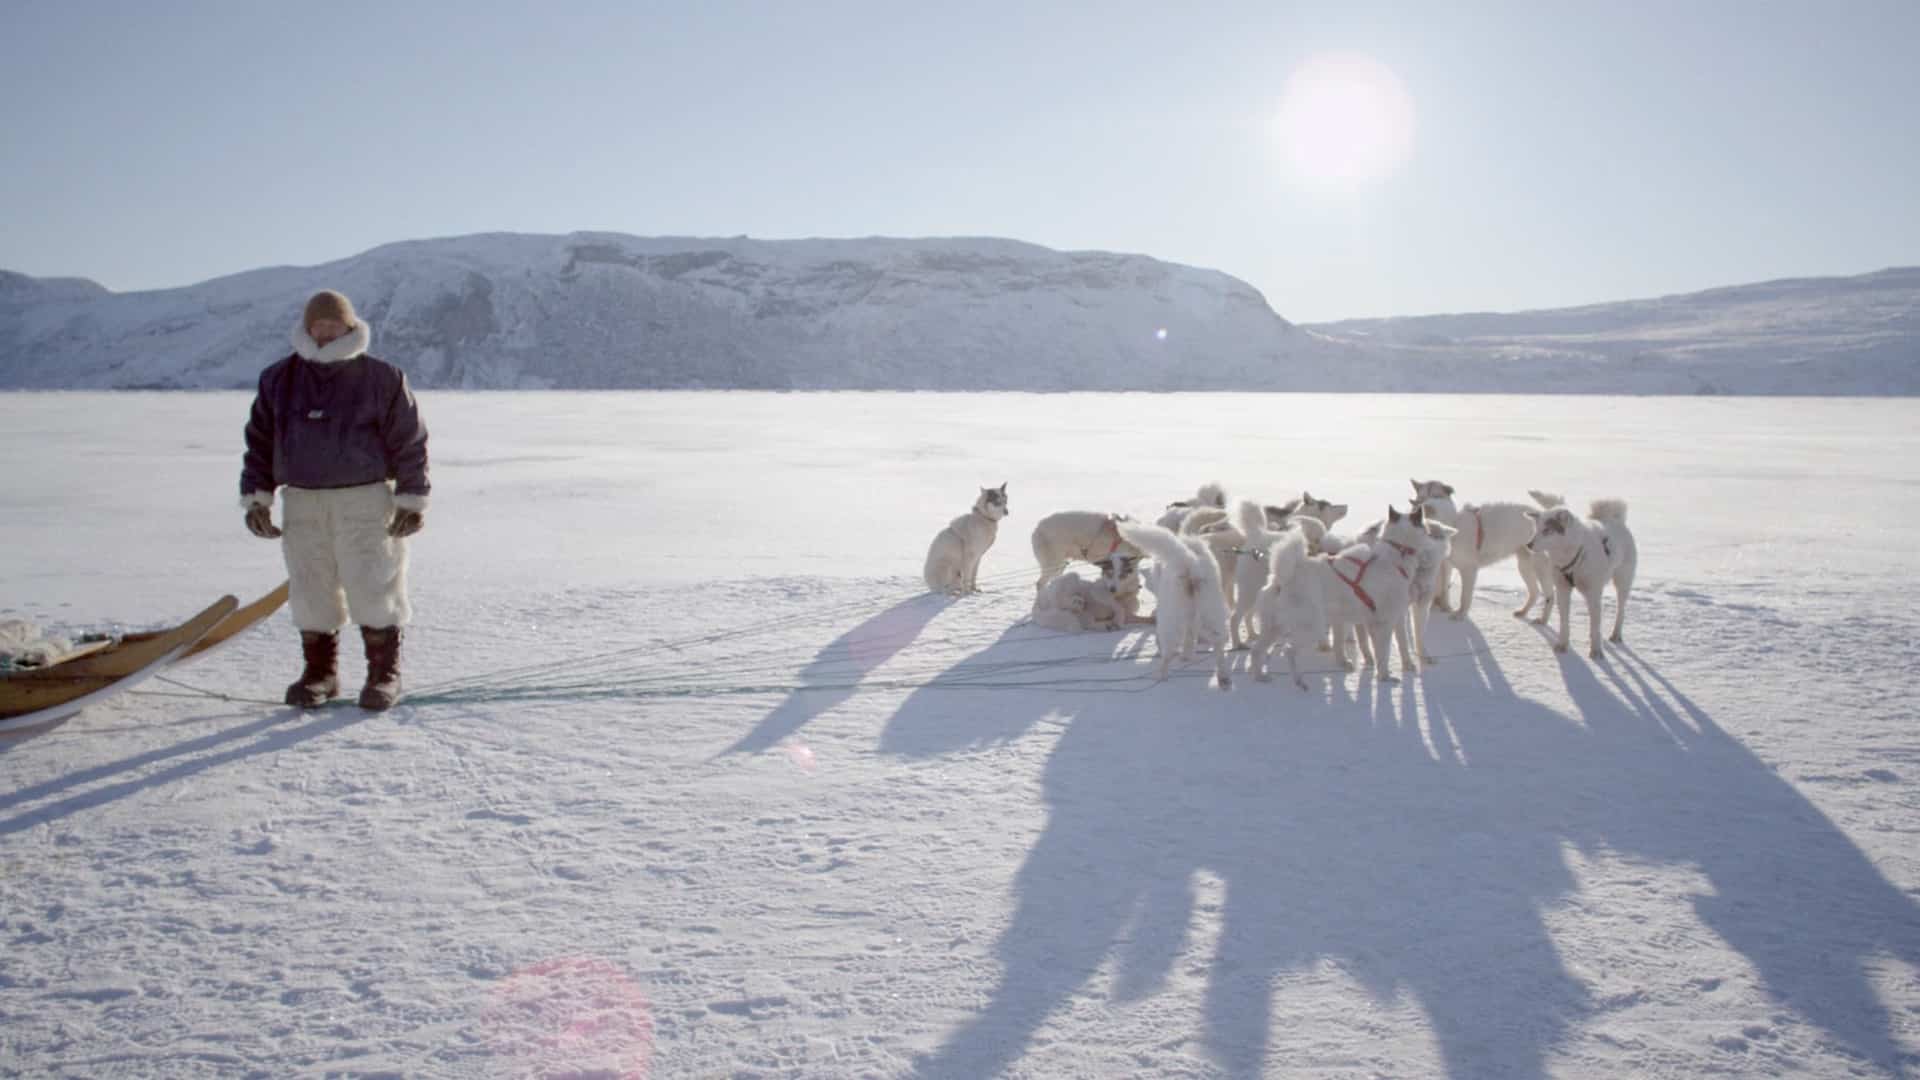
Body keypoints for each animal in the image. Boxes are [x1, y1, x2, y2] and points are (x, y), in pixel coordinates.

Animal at [1520, 495, 1643, 657]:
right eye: (1537, 530)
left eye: (1547, 530)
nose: (1528, 544)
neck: (1576, 552)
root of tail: (1615, 520)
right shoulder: (1563, 589)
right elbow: (1564, 621)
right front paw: (1562, 644)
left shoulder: (1593, 593)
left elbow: (1595, 626)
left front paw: (1596, 651)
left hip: (1622, 582)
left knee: (1620, 610)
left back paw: (1616, 634)